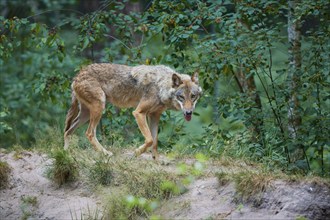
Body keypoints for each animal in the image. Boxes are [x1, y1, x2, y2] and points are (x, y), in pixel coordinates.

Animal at [62, 62, 201, 159]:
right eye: (181, 97)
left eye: (193, 96)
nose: (189, 113)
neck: (161, 86)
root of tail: (76, 77)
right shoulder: (139, 113)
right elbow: (149, 140)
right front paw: (136, 152)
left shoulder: (155, 115)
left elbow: (155, 142)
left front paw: (157, 161)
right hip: (99, 107)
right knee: (89, 133)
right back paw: (106, 153)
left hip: (86, 114)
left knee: (68, 131)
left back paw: (66, 154)